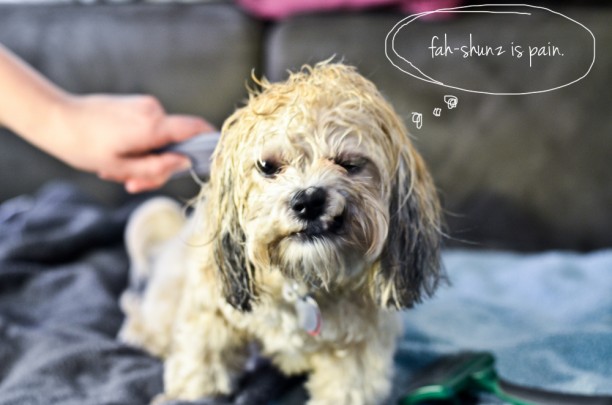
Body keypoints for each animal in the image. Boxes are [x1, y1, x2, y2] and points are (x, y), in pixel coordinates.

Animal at [119, 62, 443, 405]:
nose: (309, 200)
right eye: (266, 166)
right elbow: (200, 368)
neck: (301, 283)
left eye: (349, 163)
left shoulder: (358, 356)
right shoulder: (209, 317)